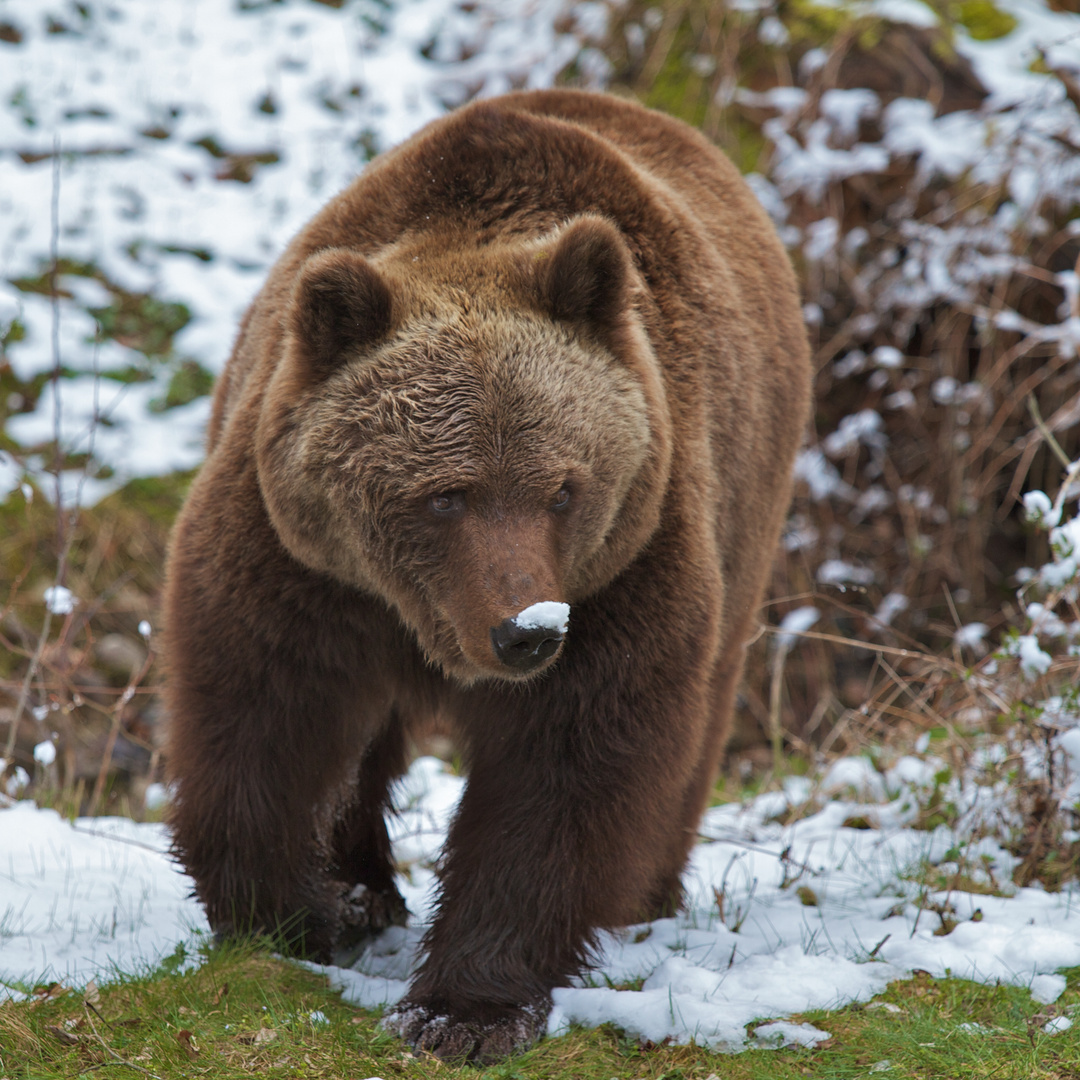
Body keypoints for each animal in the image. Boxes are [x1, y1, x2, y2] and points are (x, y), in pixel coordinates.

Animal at [164, 86, 812, 1062]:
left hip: (747, 511)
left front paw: (466, 1008)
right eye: (446, 494)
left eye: (563, 488)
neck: (425, 621)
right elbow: (260, 714)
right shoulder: (303, 564)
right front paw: (304, 911)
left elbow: (563, 774)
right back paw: (365, 885)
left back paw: (644, 896)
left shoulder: (625, 569)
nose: (527, 631)